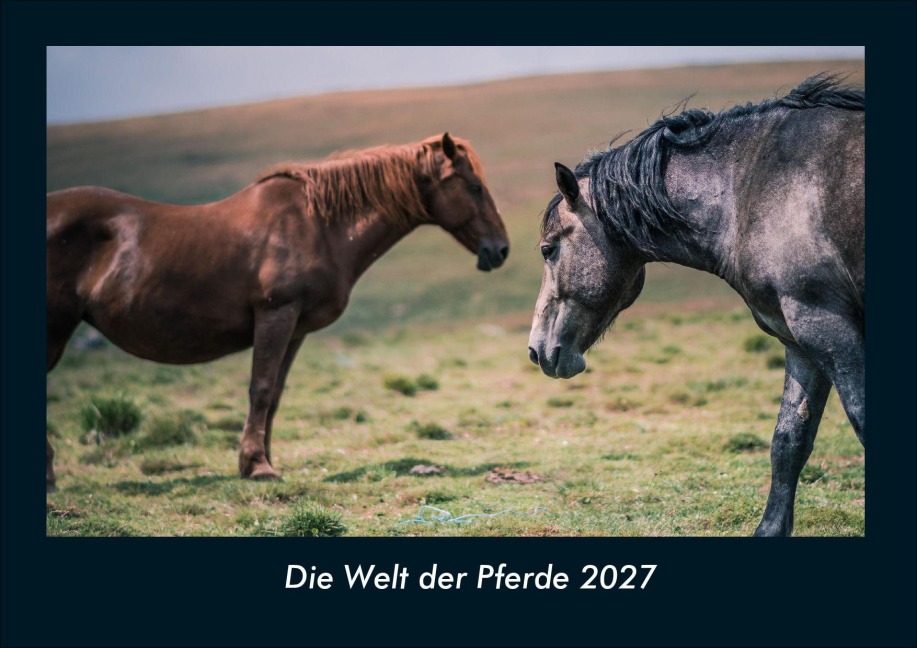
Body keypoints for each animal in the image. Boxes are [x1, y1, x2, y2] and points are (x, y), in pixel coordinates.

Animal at [47, 133, 509, 490]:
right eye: (473, 186)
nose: (501, 249)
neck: (318, 225)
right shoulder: (276, 315)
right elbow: (262, 388)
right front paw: (258, 467)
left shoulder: (296, 328)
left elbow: (276, 395)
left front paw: (259, 460)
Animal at [527, 75, 864, 536]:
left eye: (548, 249)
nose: (536, 349)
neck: (751, 188)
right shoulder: (801, 340)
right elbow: (788, 441)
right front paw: (769, 529)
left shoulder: (829, 326)